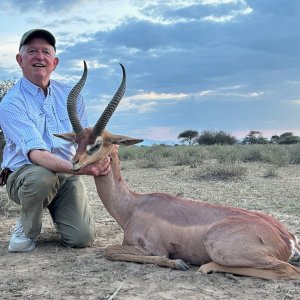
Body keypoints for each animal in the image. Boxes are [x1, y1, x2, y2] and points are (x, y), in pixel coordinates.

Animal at [54, 62, 300, 280]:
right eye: (76, 141)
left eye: (97, 144)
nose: (74, 163)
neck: (133, 206)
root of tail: (286, 236)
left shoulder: (152, 248)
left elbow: (111, 251)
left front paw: (178, 262)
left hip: (222, 248)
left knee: (288, 271)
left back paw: (206, 267)